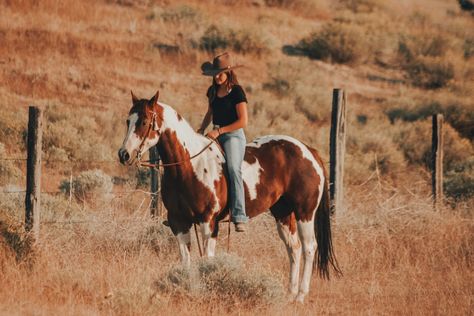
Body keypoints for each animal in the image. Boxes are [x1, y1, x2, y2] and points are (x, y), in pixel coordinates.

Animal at [118, 90, 340, 302]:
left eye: (144, 121)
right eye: (128, 121)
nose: (123, 154)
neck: (189, 166)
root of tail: (308, 151)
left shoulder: (208, 222)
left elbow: (207, 259)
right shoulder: (178, 222)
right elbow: (186, 259)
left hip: (305, 212)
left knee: (309, 247)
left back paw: (301, 295)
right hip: (283, 213)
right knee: (293, 248)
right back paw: (290, 294)